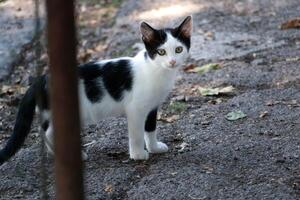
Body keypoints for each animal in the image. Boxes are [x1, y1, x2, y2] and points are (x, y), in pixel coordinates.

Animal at [0, 14, 192, 163]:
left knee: (45, 130)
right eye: (161, 52)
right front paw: (138, 154)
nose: (172, 62)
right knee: (47, 131)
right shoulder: (136, 109)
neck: (155, 70)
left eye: (178, 49)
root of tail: (41, 78)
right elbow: (137, 133)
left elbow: (150, 128)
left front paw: (154, 147)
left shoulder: (152, 106)